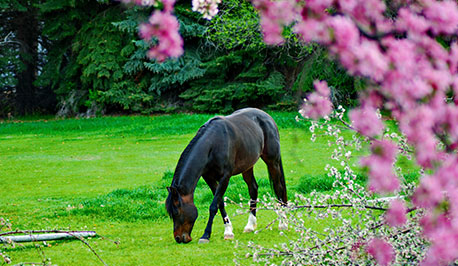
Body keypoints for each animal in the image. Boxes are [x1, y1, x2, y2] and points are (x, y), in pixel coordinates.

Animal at [165, 107, 286, 243]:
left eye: (176, 213)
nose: (179, 238)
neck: (212, 145)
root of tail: (267, 117)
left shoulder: (225, 178)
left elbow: (213, 206)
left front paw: (206, 235)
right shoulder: (209, 178)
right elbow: (220, 203)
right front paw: (228, 231)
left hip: (272, 162)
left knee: (278, 188)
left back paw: (282, 223)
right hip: (248, 166)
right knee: (253, 189)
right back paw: (250, 225)